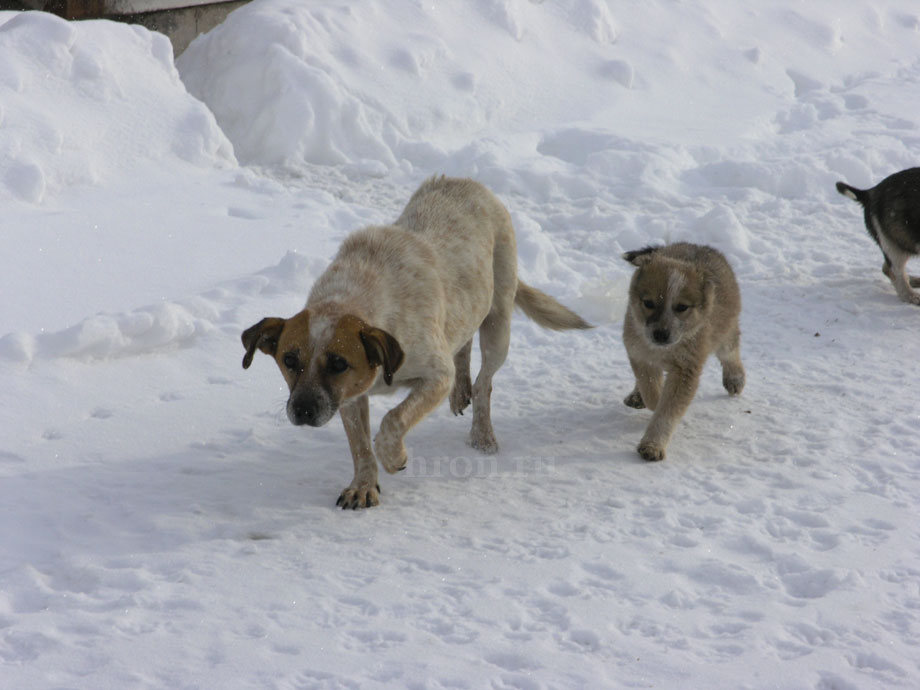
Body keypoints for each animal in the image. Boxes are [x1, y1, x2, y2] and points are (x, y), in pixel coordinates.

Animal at [243, 175, 588, 508]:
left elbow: (393, 420)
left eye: (339, 363)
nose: (302, 410)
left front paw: (394, 457)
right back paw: (460, 394)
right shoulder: (351, 398)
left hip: (498, 325)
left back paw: (482, 434)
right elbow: (360, 447)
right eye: (289, 360)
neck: (353, 299)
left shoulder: (435, 375)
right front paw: (363, 487)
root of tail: (469, 183)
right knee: (463, 348)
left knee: (484, 382)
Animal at [620, 242, 744, 462]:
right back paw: (636, 396)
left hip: (725, 331)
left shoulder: (686, 369)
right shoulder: (639, 353)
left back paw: (735, 378)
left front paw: (652, 446)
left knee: (731, 349)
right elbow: (650, 388)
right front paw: (651, 398)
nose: (661, 334)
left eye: (682, 307)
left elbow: (667, 412)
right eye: (648, 303)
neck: (665, 350)